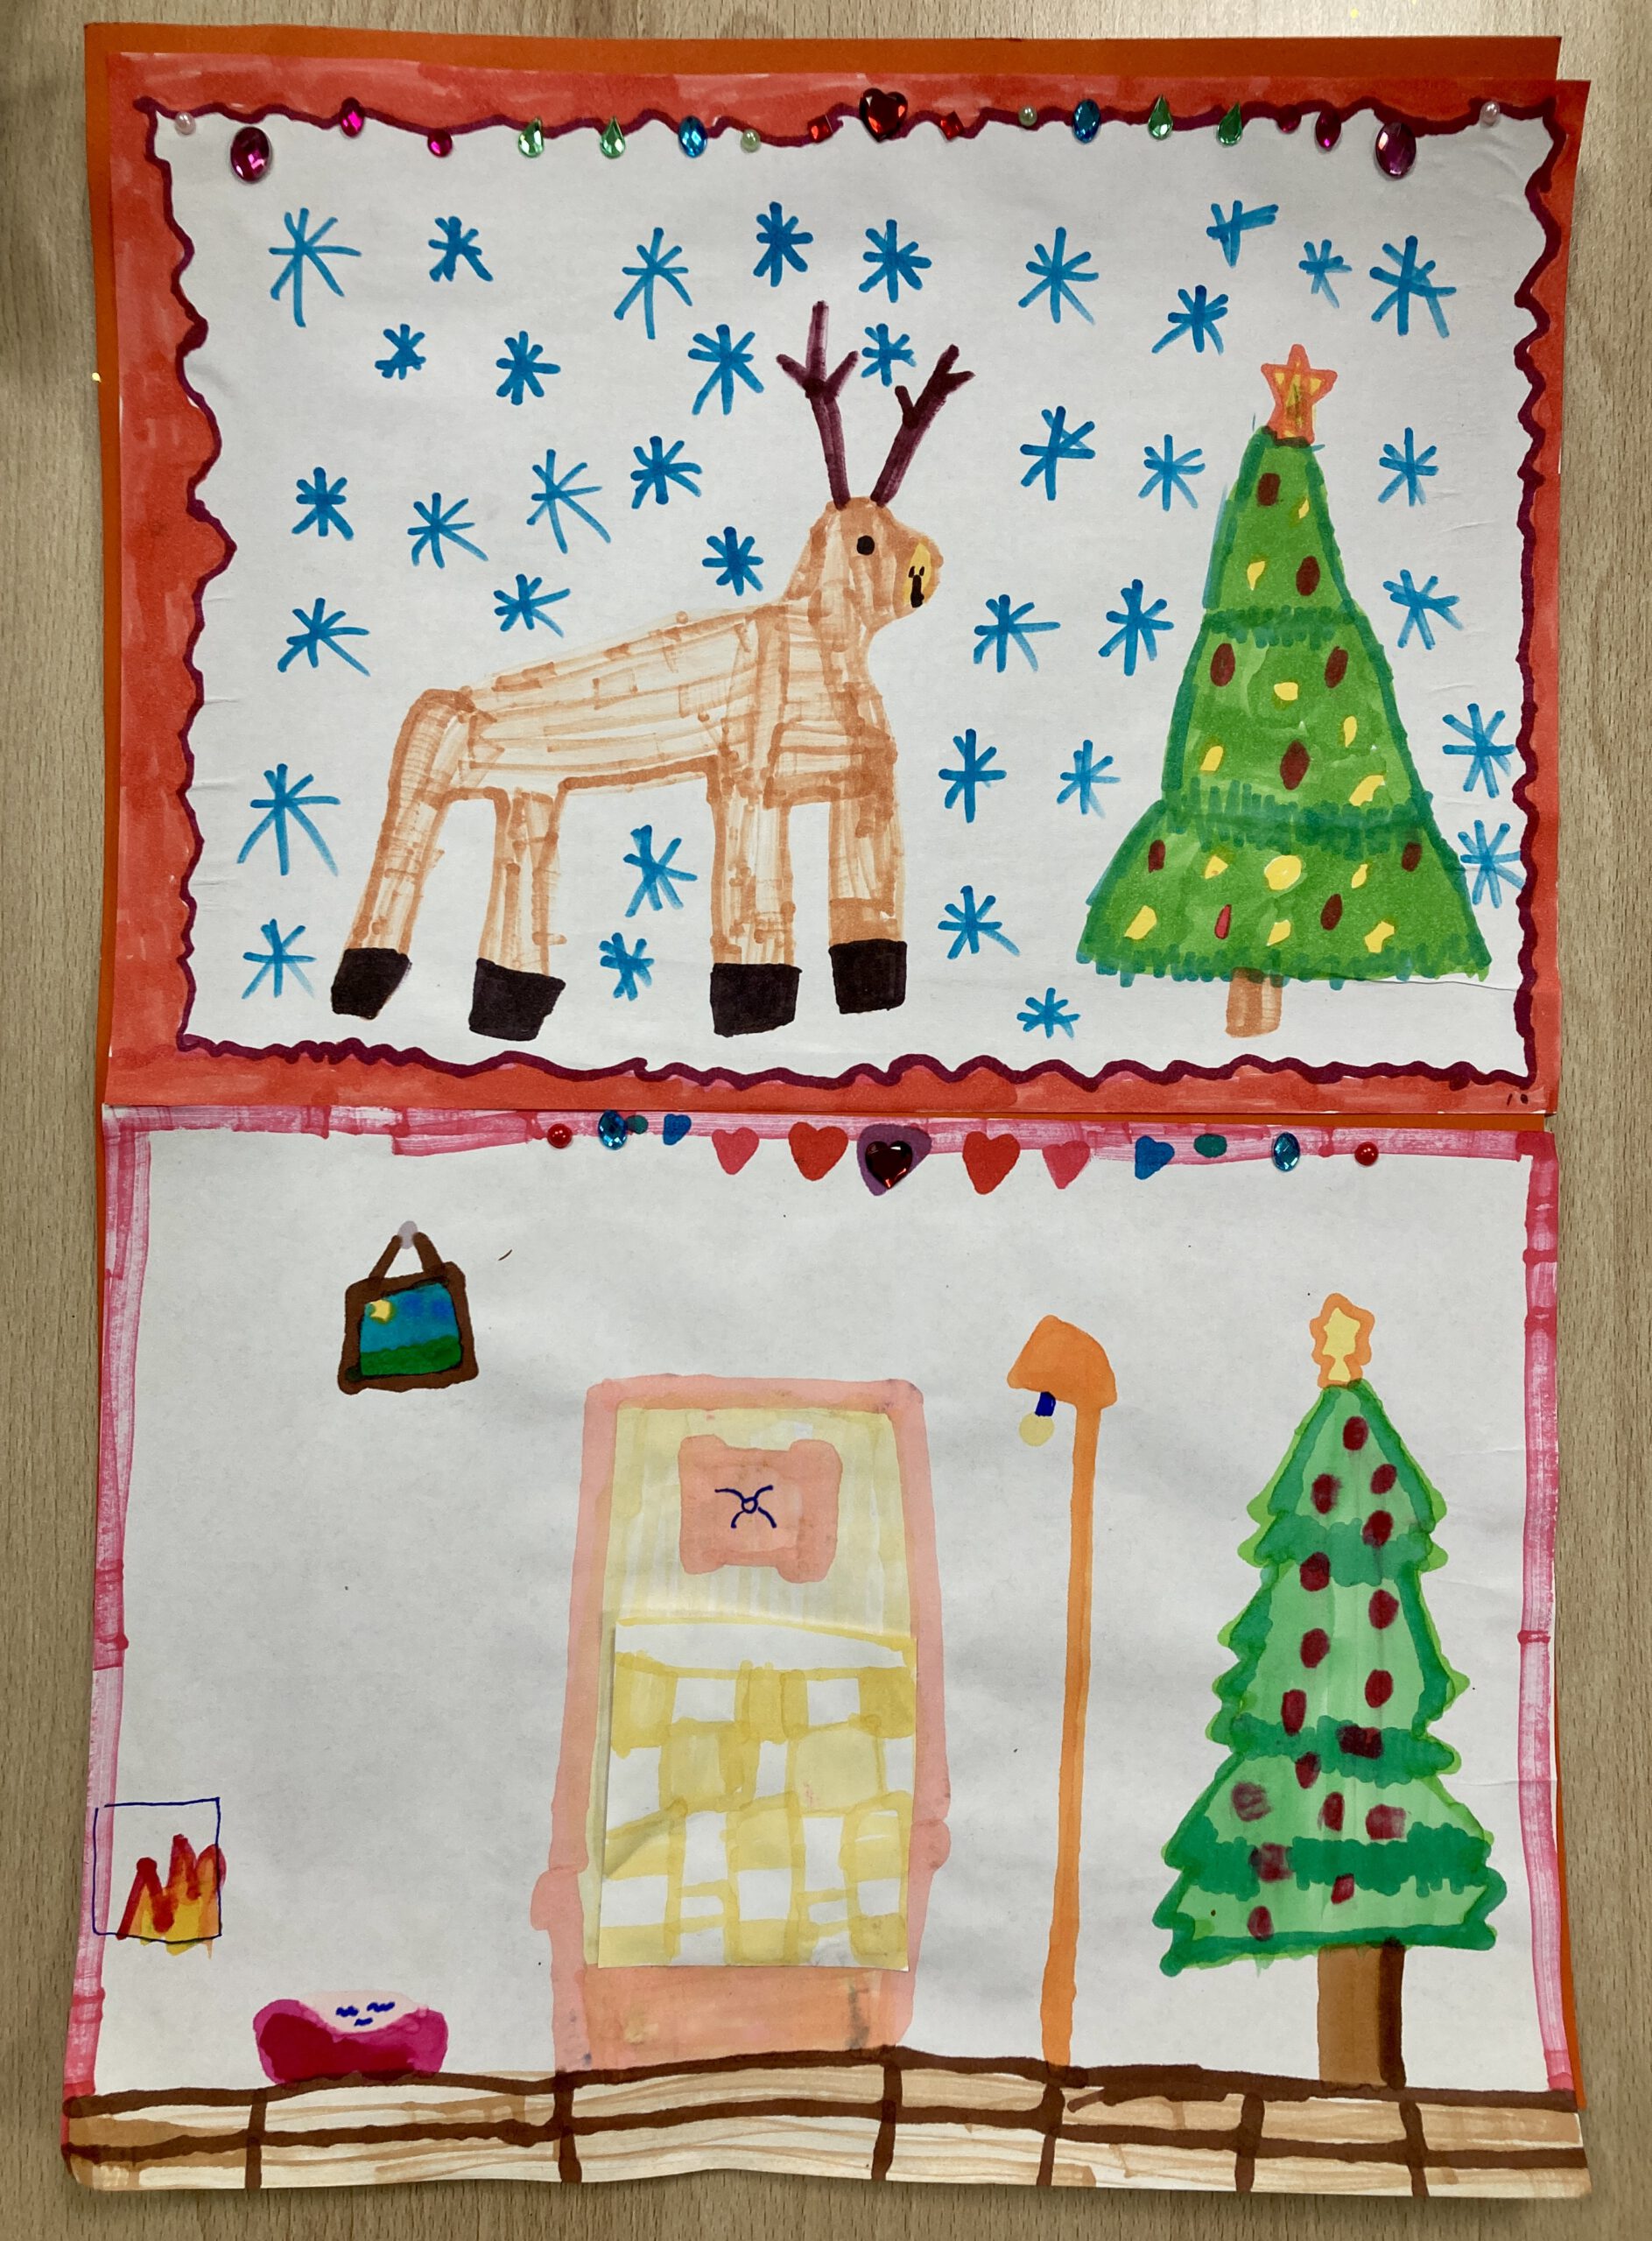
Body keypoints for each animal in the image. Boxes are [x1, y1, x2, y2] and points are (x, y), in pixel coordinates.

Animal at [330, 303, 972, 1044]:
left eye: (894, 527)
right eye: (864, 541)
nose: (925, 568)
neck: (824, 646)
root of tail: (440, 701)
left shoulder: (864, 785)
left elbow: (870, 906)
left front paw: (871, 998)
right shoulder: (749, 781)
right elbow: (752, 901)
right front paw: (755, 1010)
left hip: (530, 791)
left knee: (520, 876)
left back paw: (506, 1005)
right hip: (434, 783)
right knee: (399, 866)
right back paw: (364, 990)